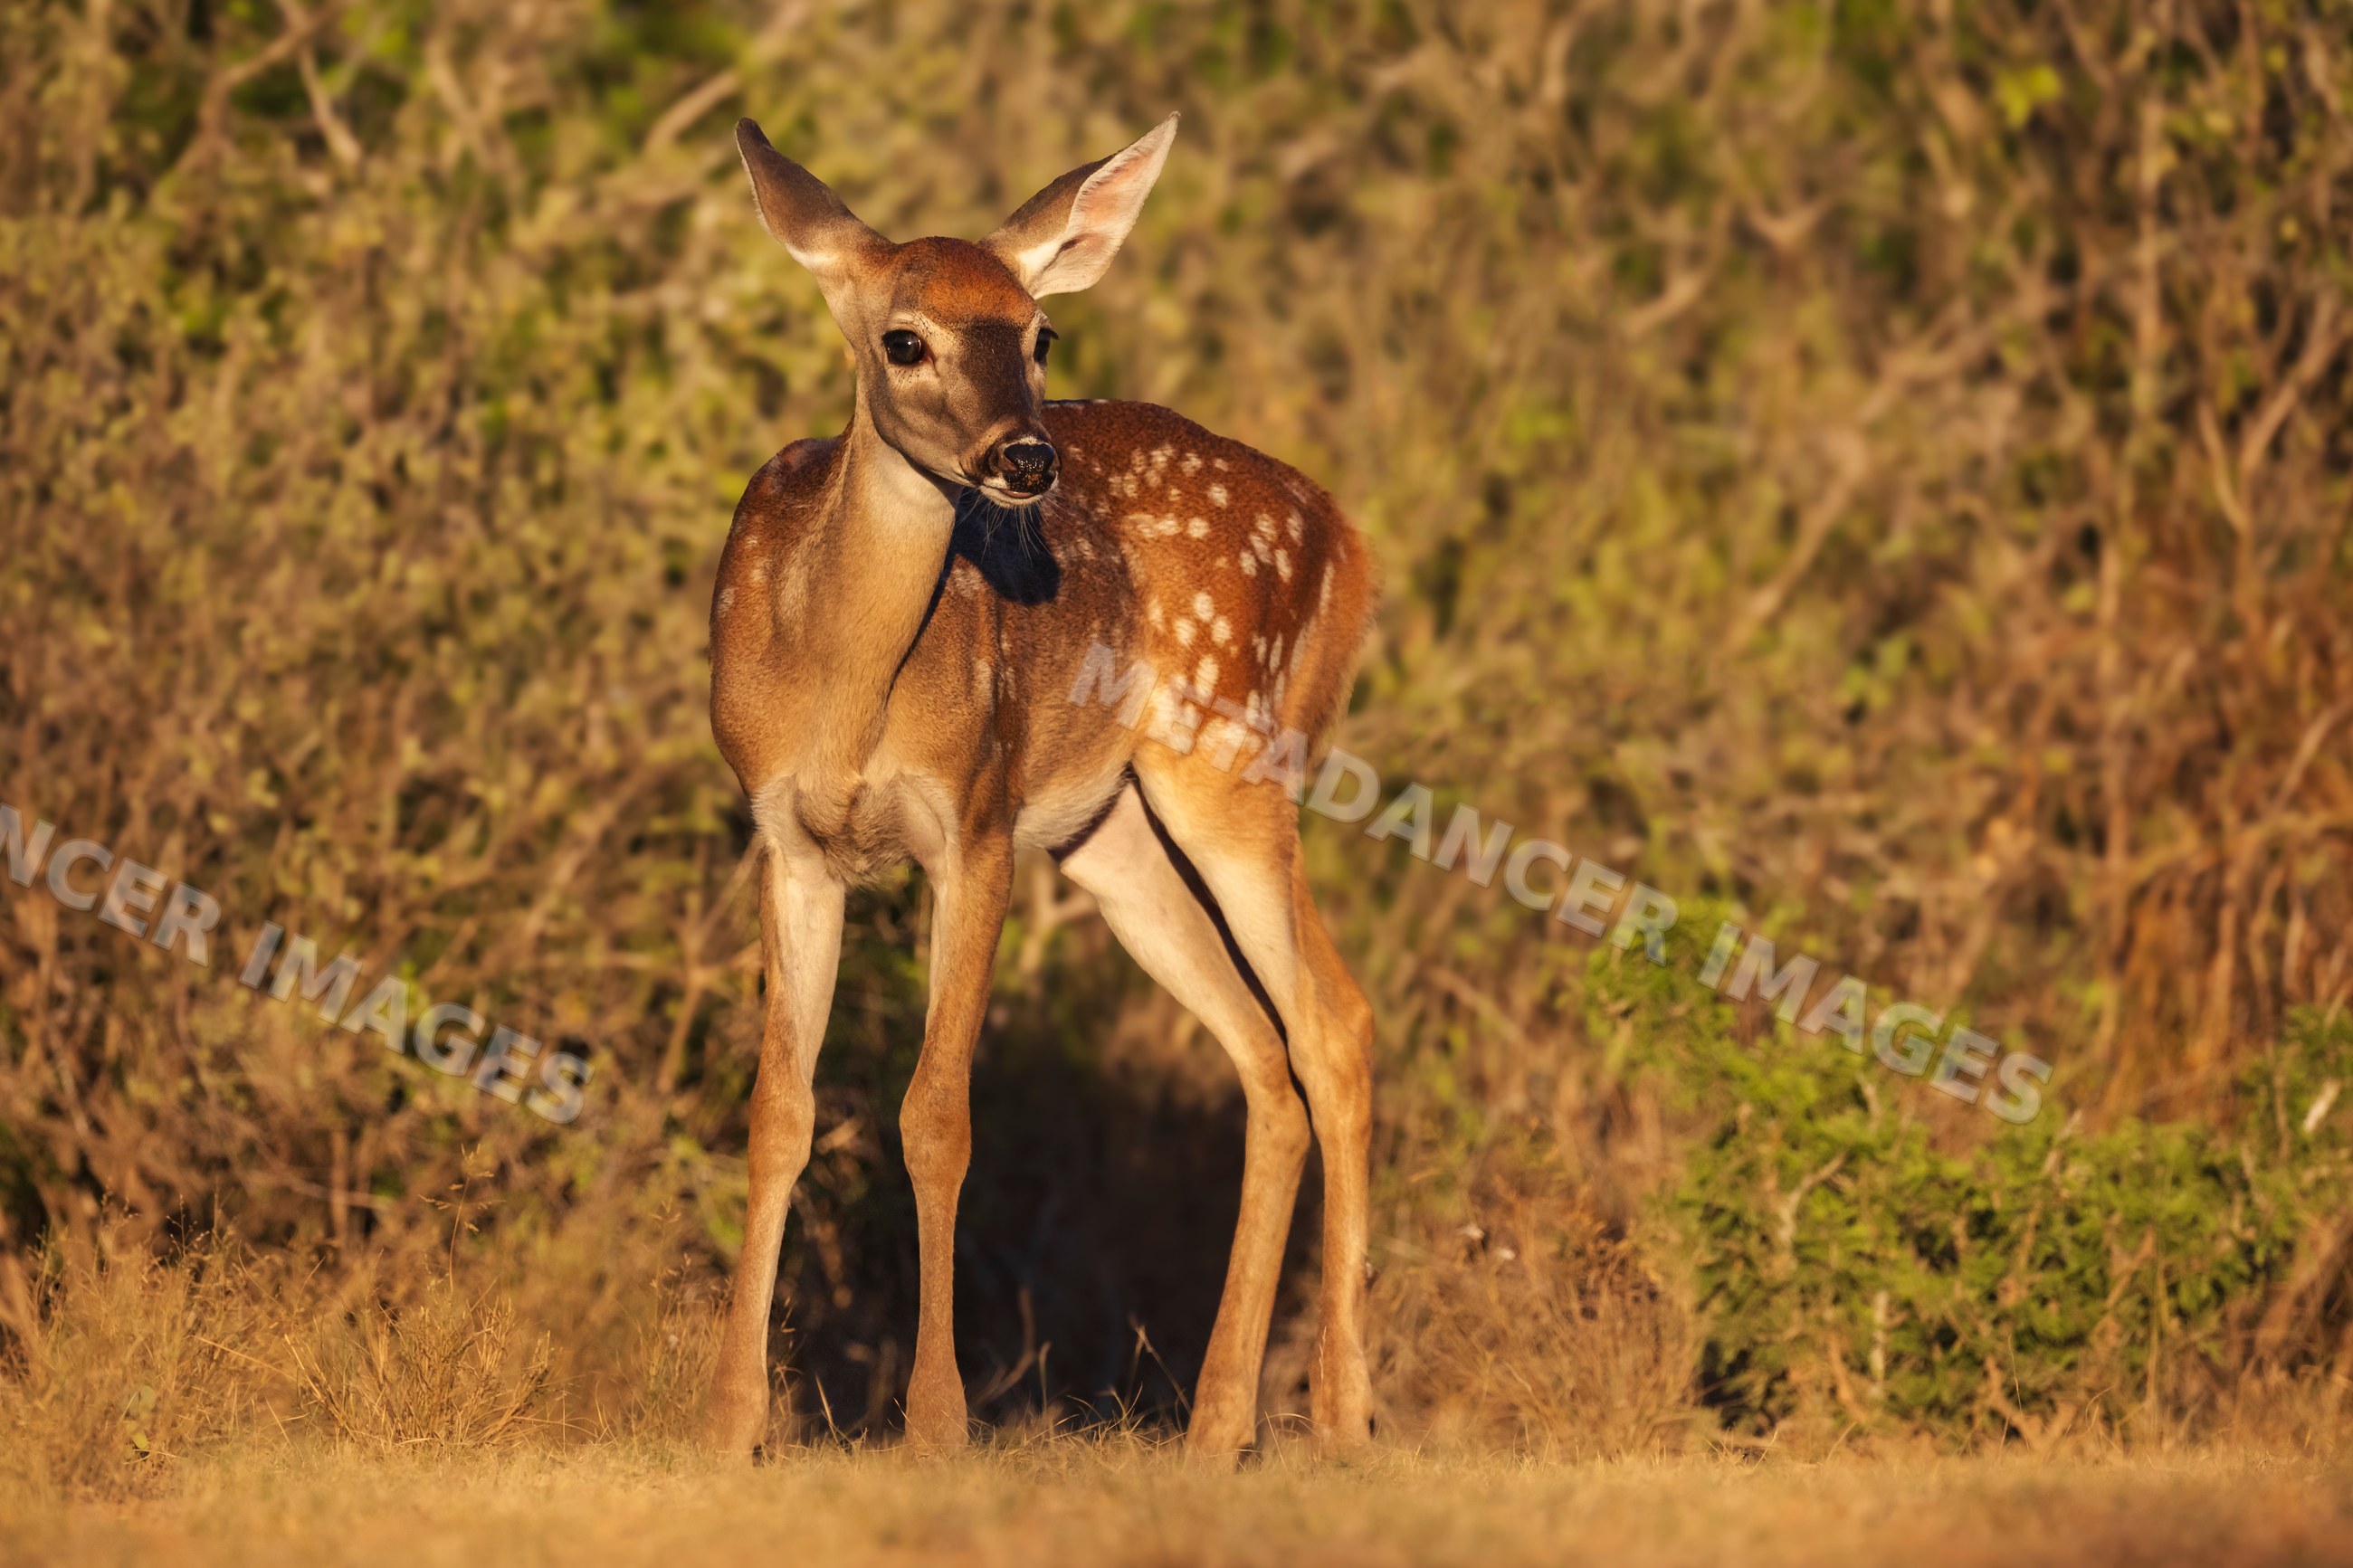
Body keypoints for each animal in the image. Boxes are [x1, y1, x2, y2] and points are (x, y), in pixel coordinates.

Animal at [700, 111, 1378, 1464]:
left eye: (1039, 333)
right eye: (904, 337)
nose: (1022, 457)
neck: (842, 689)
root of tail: (1342, 531)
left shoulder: (974, 819)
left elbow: (935, 1114)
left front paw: (936, 1420)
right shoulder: (786, 837)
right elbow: (780, 1111)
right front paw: (731, 1420)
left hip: (1233, 759)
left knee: (1333, 1023)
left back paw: (1340, 1412)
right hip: (1108, 833)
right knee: (1263, 1054)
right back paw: (1217, 1424)